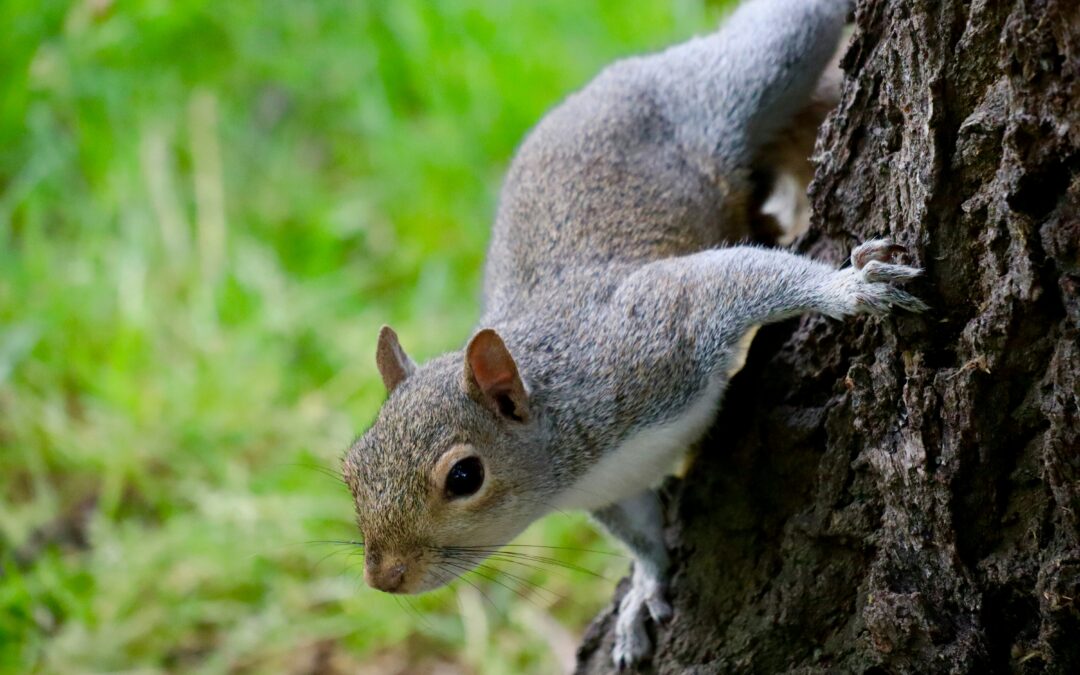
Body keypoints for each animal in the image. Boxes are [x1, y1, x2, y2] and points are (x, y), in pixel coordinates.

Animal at [342, 0, 926, 668]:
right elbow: (643, 533)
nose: (384, 577)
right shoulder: (613, 491)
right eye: (351, 468)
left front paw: (847, 288)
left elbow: (732, 280)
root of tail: (624, 74)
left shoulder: (651, 336)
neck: (572, 454)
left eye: (465, 477)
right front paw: (646, 586)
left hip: (740, 85)